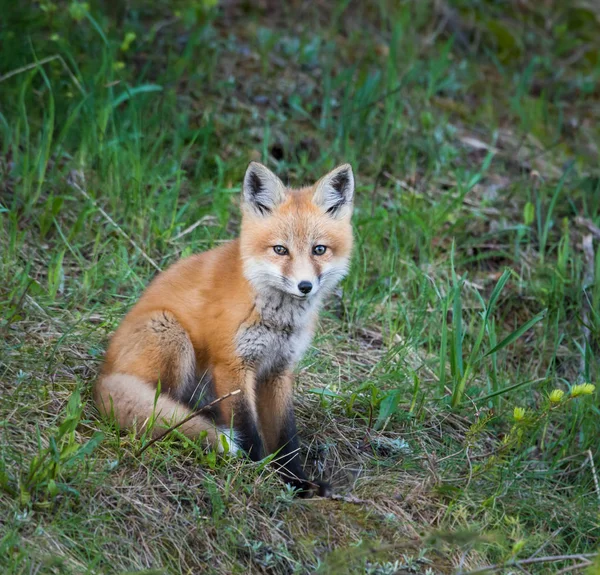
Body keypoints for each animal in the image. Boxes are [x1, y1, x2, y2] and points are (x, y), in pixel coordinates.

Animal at [94, 161, 354, 496]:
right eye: (280, 250)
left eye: (319, 249)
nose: (305, 286)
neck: (277, 319)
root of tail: (102, 377)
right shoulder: (232, 364)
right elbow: (247, 428)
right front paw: (257, 470)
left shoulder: (278, 370)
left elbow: (286, 437)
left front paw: (295, 480)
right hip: (172, 335)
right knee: (160, 407)